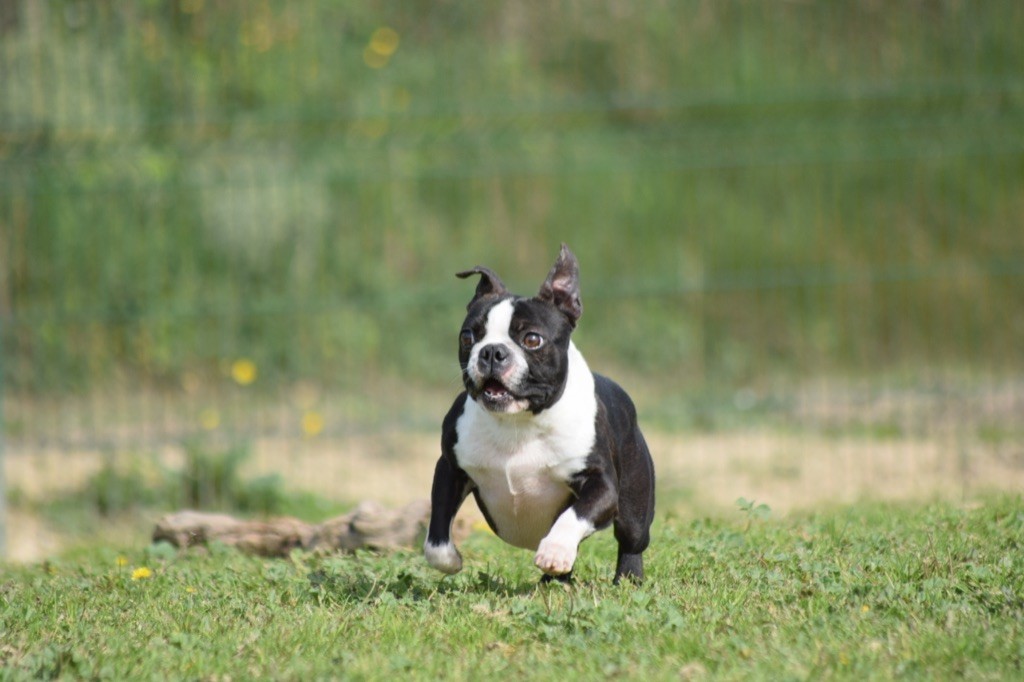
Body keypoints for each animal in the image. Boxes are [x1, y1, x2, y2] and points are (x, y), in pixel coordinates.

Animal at [423, 241, 655, 581]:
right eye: (468, 336)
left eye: (532, 339)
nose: (492, 352)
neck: (518, 422)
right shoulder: (450, 469)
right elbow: (435, 540)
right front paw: (451, 560)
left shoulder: (601, 485)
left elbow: (574, 515)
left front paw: (555, 550)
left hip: (634, 505)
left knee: (632, 541)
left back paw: (627, 579)